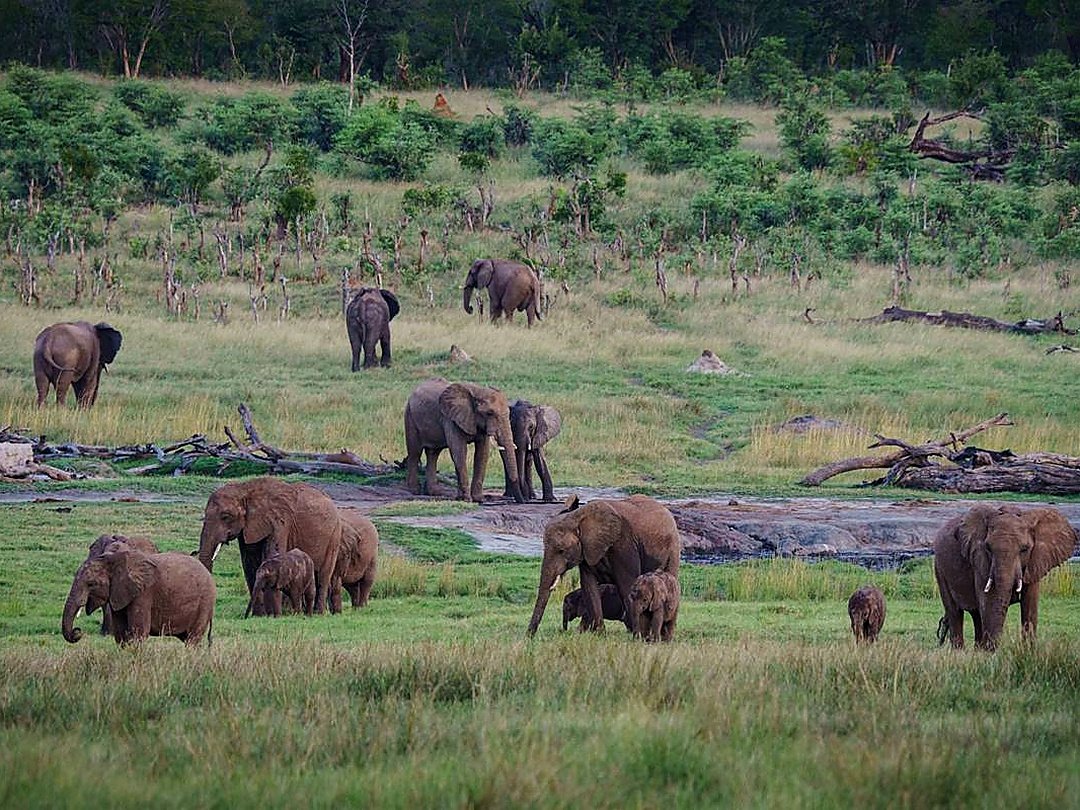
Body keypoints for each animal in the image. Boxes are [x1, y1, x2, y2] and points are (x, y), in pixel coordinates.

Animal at [62, 549, 215, 646]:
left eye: (91, 584)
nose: (77, 632)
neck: (114, 559)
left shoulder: (143, 594)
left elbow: (138, 632)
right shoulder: (118, 593)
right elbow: (121, 634)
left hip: (205, 603)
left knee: (192, 639)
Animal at [197, 477, 343, 615]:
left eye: (225, 516)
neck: (245, 489)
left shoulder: (280, 521)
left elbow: (271, 555)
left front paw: (271, 614)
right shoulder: (249, 526)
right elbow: (249, 564)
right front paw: (259, 615)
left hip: (334, 535)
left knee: (323, 576)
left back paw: (317, 613)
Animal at [526, 495, 681, 637]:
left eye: (561, 550)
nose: (529, 637)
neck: (579, 516)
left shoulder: (624, 545)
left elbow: (627, 585)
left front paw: (636, 634)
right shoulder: (587, 550)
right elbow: (589, 586)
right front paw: (600, 634)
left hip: (673, 548)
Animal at [933, 504, 1077, 650]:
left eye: (1025, 549)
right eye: (988, 548)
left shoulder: (1035, 561)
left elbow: (1030, 604)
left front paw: (1028, 651)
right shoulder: (980, 560)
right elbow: (989, 600)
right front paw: (989, 653)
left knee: (976, 614)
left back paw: (977, 650)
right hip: (939, 568)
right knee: (955, 611)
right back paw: (959, 651)